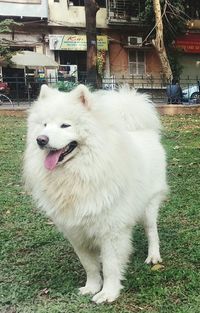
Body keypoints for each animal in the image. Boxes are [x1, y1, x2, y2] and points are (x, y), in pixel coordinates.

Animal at [23, 84, 167, 302]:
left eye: (65, 125)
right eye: (44, 125)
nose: (41, 140)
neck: (80, 174)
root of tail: (141, 131)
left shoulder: (110, 232)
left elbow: (109, 266)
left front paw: (108, 293)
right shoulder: (76, 232)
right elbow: (89, 266)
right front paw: (91, 287)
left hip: (149, 206)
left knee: (152, 232)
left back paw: (153, 256)